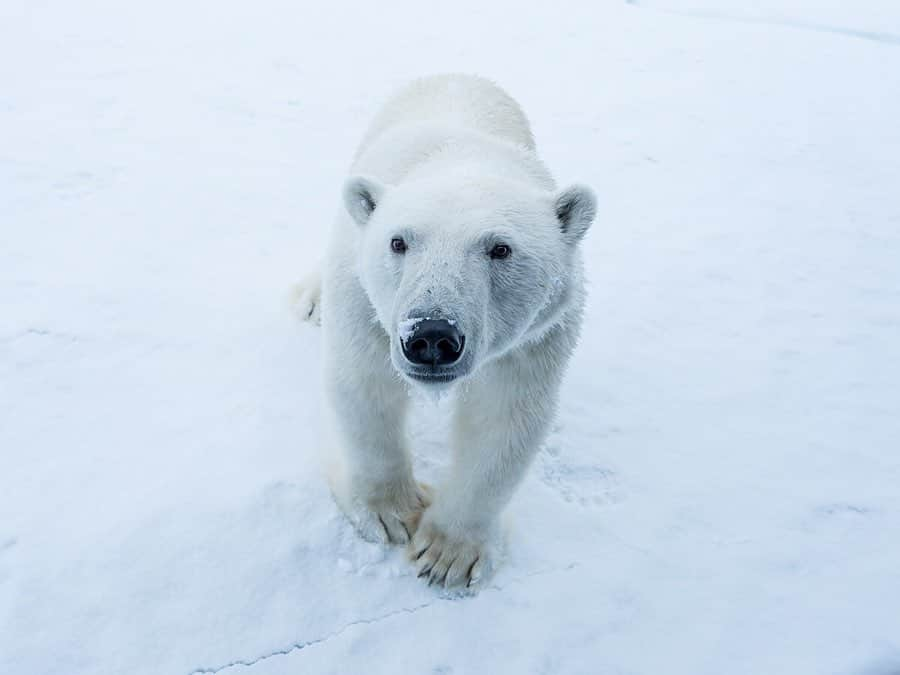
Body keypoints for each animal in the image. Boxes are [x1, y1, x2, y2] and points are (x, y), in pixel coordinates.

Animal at [292, 74, 596, 588]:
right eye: (398, 241)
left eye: (501, 248)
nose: (431, 336)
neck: (461, 156)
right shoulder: (365, 301)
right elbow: (365, 386)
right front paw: (390, 514)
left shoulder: (537, 336)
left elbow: (502, 419)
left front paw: (446, 556)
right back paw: (310, 297)